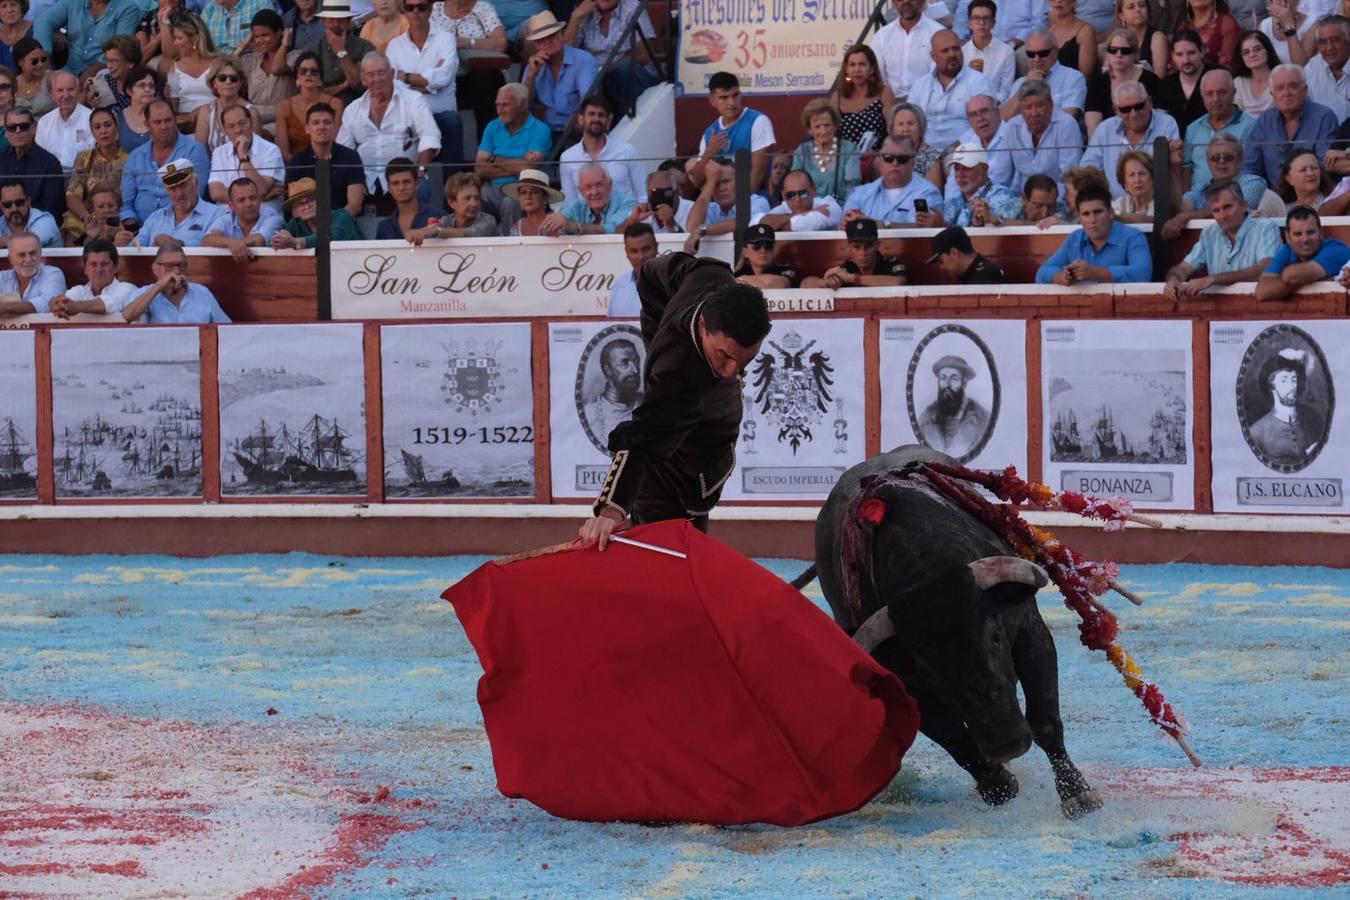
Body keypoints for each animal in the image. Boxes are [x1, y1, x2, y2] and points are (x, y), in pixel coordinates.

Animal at [793, 447, 1101, 820]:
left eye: (995, 637)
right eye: (928, 666)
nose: (1007, 743)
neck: (928, 570)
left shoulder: (1031, 634)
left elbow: (1044, 721)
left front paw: (1077, 794)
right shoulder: (905, 681)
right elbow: (957, 741)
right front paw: (998, 785)